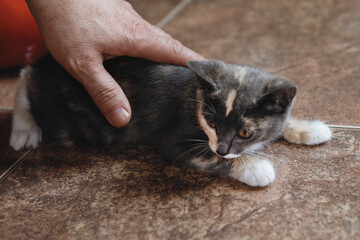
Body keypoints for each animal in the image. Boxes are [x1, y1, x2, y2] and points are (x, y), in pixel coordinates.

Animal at [9, 55, 332, 187]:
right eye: (212, 123)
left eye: (244, 132)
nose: (223, 149)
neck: (195, 96)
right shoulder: (173, 139)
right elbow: (205, 156)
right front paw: (255, 168)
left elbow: (282, 123)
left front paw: (309, 129)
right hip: (75, 123)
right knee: (26, 77)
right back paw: (24, 129)